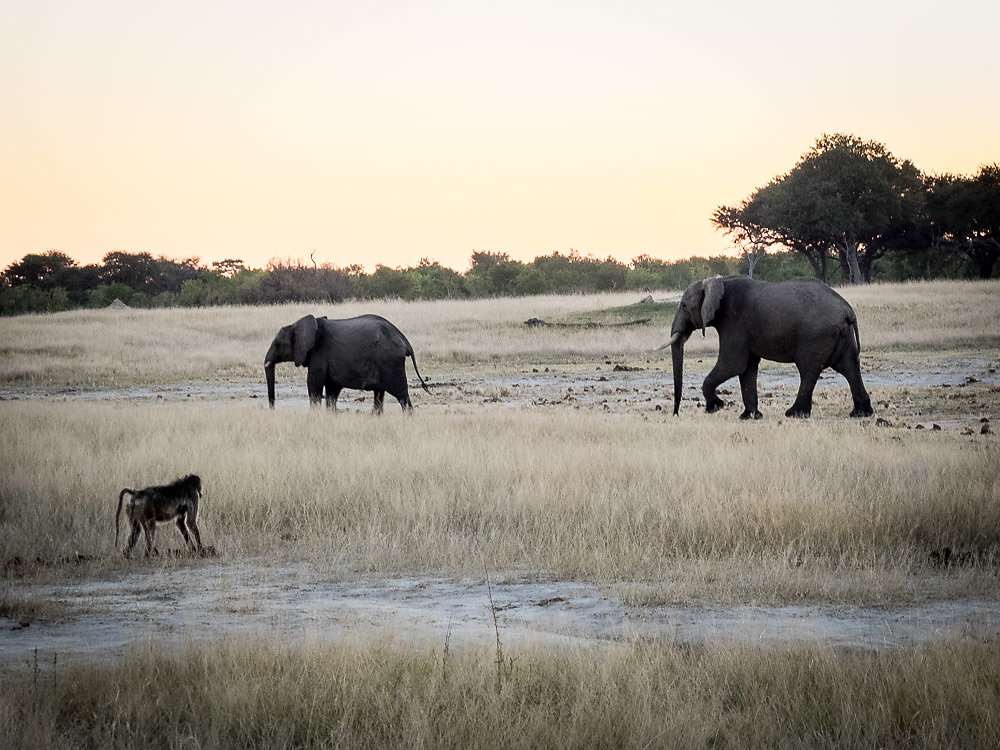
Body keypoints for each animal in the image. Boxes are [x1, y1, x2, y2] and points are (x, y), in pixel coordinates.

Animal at [264, 314, 428, 414]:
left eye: (278, 344)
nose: (272, 410)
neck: (298, 325)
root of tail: (404, 340)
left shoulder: (319, 354)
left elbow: (313, 384)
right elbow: (332, 389)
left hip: (390, 362)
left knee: (402, 395)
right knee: (379, 395)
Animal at [664, 276, 876, 420]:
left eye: (684, 306)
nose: (676, 414)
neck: (718, 281)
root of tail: (848, 310)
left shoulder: (734, 323)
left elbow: (733, 364)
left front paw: (715, 407)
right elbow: (747, 368)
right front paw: (749, 417)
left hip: (816, 334)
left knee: (809, 370)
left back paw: (794, 414)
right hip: (842, 335)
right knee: (849, 367)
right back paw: (861, 414)